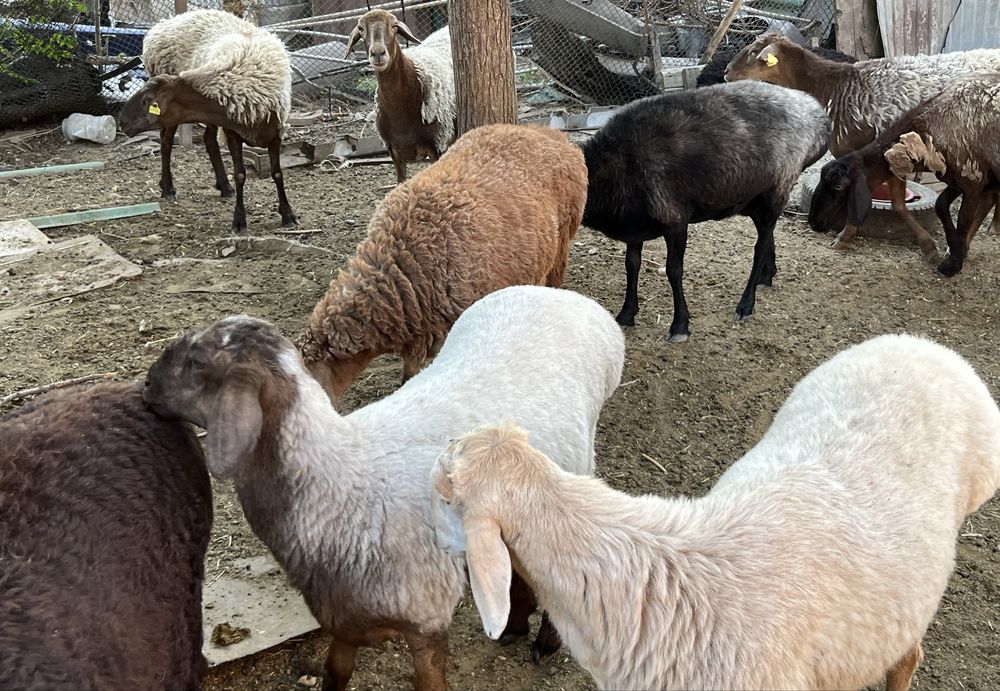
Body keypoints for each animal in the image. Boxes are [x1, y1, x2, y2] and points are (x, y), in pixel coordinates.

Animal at [117, 8, 297, 233]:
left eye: (146, 100)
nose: (122, 122)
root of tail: (163, 23)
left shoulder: (275, 132)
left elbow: (278, 173)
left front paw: (288, 214)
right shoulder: (232, 132)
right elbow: (240, 175)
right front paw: (239, 220)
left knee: (208, 140)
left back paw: (224, 186)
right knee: (166, 142)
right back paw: (168, 187)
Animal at [142, 284, 625, 691]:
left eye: (196, 362)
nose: (145, 384)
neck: (339, 480)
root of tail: (567, 297)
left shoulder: (427, 619)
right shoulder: (346, 614)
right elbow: (336, 672)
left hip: (576, 466)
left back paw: (545, 640)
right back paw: (515, 625)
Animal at [581, 80, 830, 343]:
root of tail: (819, 116)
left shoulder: (675, 219)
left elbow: (673, 270)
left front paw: (680, 325)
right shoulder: (635, 227)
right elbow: (631, 264)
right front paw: (626, 314)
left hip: (777, 190)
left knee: (760, 246)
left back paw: (746, 304)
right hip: (752, 199)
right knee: (768, 234)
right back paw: (767, 276)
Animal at [724, 34, 1000, 254]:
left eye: (753, 53)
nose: (726, 71)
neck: (834, 89)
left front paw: (844, 238)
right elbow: (898, 206)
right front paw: (926, 244)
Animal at [809, 74, 1000, 278]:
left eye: (839, 186)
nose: (813, 222)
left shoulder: (972, 180)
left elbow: (963, 221)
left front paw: (952, 263)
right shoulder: (956, 179)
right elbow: (926, 206)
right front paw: (939, 248)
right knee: (989, 199)